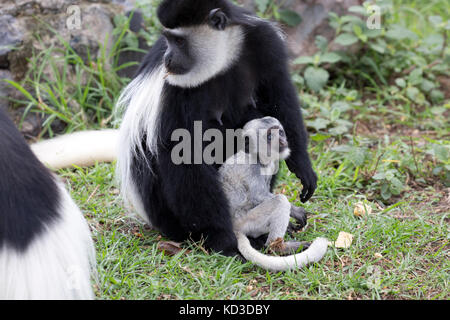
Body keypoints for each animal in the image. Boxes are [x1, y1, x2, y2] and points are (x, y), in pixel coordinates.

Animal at [118, 0, 318, 255]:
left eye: (179, 41)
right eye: (168, 40)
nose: (168, 58)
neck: (223, 59)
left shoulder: (265, 43)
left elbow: (278, 96)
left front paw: (302, 167)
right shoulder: (173, 88)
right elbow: (183, 149)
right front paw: (224, 239)